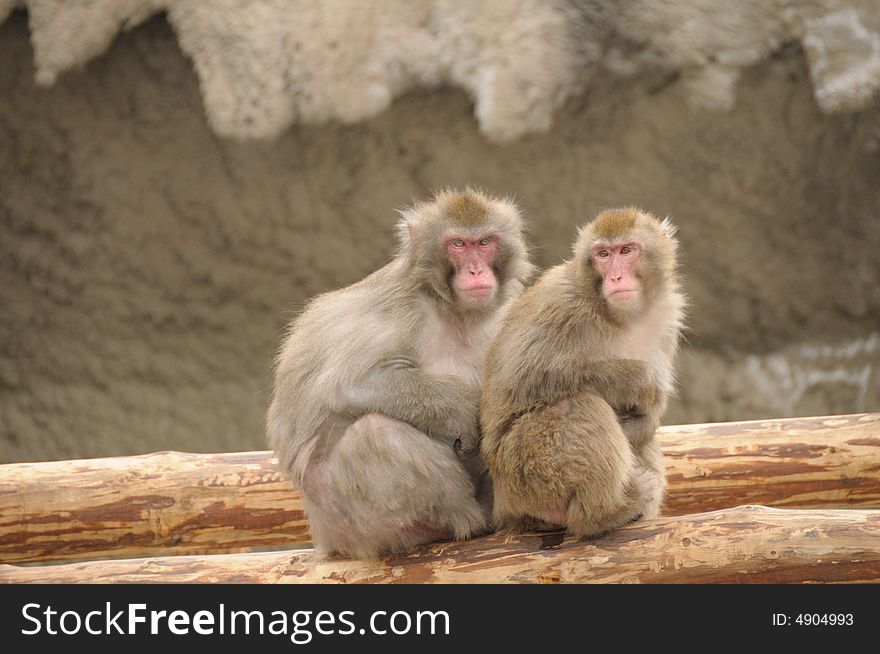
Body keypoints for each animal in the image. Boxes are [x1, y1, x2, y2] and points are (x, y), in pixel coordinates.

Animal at [264, 188, 532, 560]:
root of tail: (323, 535)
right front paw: (464, 411)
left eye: (485, 242)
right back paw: (469, 519)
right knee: (376, 434)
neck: (457, 311)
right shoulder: (403, 308)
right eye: (458, 244)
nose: (476, 270)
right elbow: (347, 384)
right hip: (347, 521)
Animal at [478, 209, 684, 540]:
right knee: (577, 405)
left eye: (626, 250)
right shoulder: (562, 304)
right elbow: (525, 378)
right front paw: (635, 379)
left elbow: (649, 420)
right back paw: (603, 515)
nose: (615, 277)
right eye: (603, 254)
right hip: (525, 472)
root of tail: (504, 506)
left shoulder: (666, 321)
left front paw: (646, 420)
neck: (621, 317)